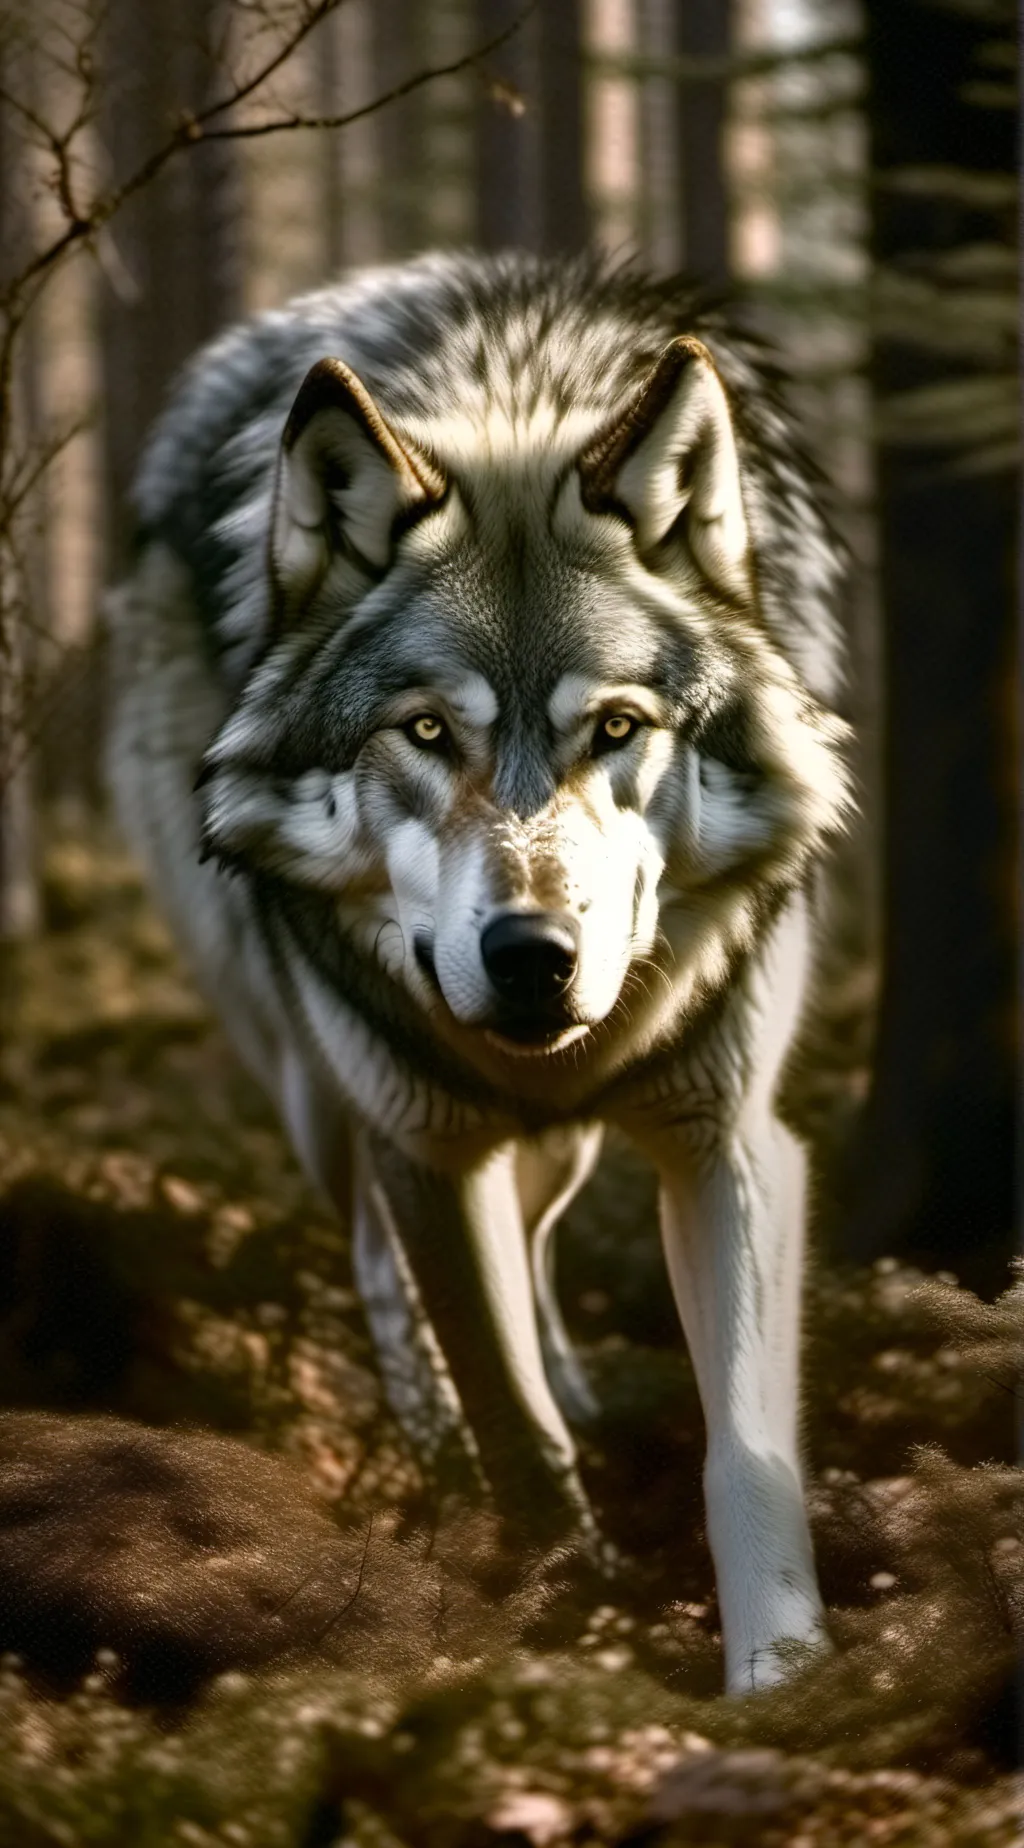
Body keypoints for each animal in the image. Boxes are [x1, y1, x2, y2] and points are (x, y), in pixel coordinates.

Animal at [107, 251, 851, 1694]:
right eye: (425, 733)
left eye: (615, 727)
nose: (531, 956)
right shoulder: (427, 1144)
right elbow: (510, 1421)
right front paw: (567, 1620)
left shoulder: (730, 1139)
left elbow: (746, 1450)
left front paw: (785, 1681)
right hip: (314, 1083)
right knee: (379, 1261)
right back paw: (428, 1437)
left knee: (540, 1239)